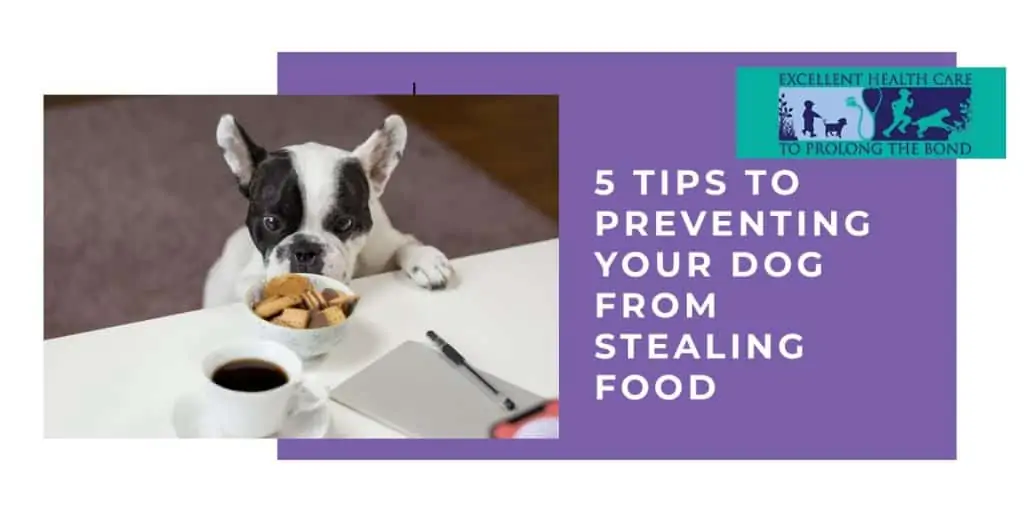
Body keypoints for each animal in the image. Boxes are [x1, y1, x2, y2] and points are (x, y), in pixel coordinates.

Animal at [203, 113, 452, 307]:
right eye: (271, 222)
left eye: (345, 223)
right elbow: (252, 283)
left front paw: (425, 259)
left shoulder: (384, 245)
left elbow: (405, 244)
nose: (305, 251)